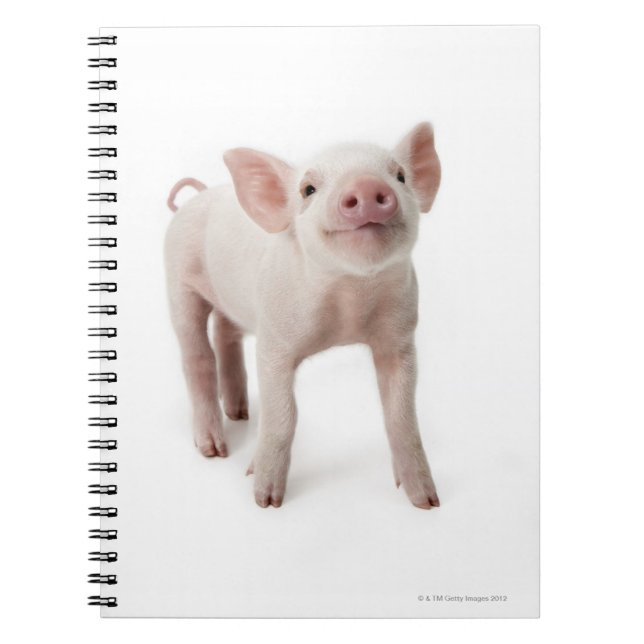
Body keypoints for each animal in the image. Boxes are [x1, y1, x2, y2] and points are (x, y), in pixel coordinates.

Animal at [164, 122, 442, 509]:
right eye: (308, 189)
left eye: (399, 175)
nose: (366, 186)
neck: (349, 300)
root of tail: (198, 196)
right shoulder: (274, 341)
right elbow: (283, 415)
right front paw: (265, 500)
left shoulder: (400, 338)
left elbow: (401, 415)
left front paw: (427, 501)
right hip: (178, 282)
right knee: (196, 357)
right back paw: (214, 450)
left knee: (225, 335)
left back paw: (240, 413)